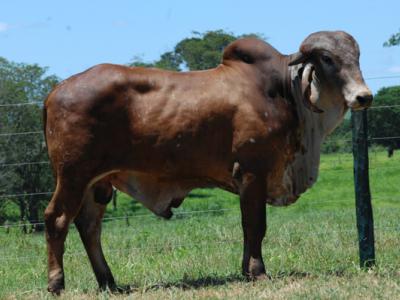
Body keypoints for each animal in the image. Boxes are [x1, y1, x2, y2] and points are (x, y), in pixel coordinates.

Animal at [43, 31, 372, 292]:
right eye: (327, 58)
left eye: (356, 56)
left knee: (89, 226)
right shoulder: (252, 171)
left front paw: (246, 270)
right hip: (72, 175)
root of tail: (55, 90)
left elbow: (249, 226)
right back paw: (57, 283)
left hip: (97, 182)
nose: (363, 96)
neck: (283, 90)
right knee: (56, 219)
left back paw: (109, 282)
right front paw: (257, 271)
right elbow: (255, 224)